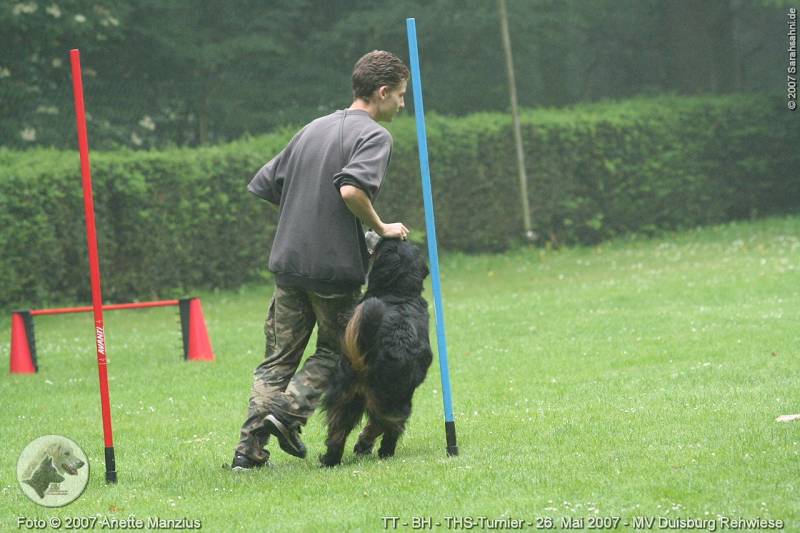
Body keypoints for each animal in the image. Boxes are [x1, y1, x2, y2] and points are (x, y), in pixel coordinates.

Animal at [319, 237, 433, 467]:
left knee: (355, 426)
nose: (371, 232)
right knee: (382, 424)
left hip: (357, 393)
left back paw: (342, 454)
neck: (400, 293)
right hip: (385, 398)